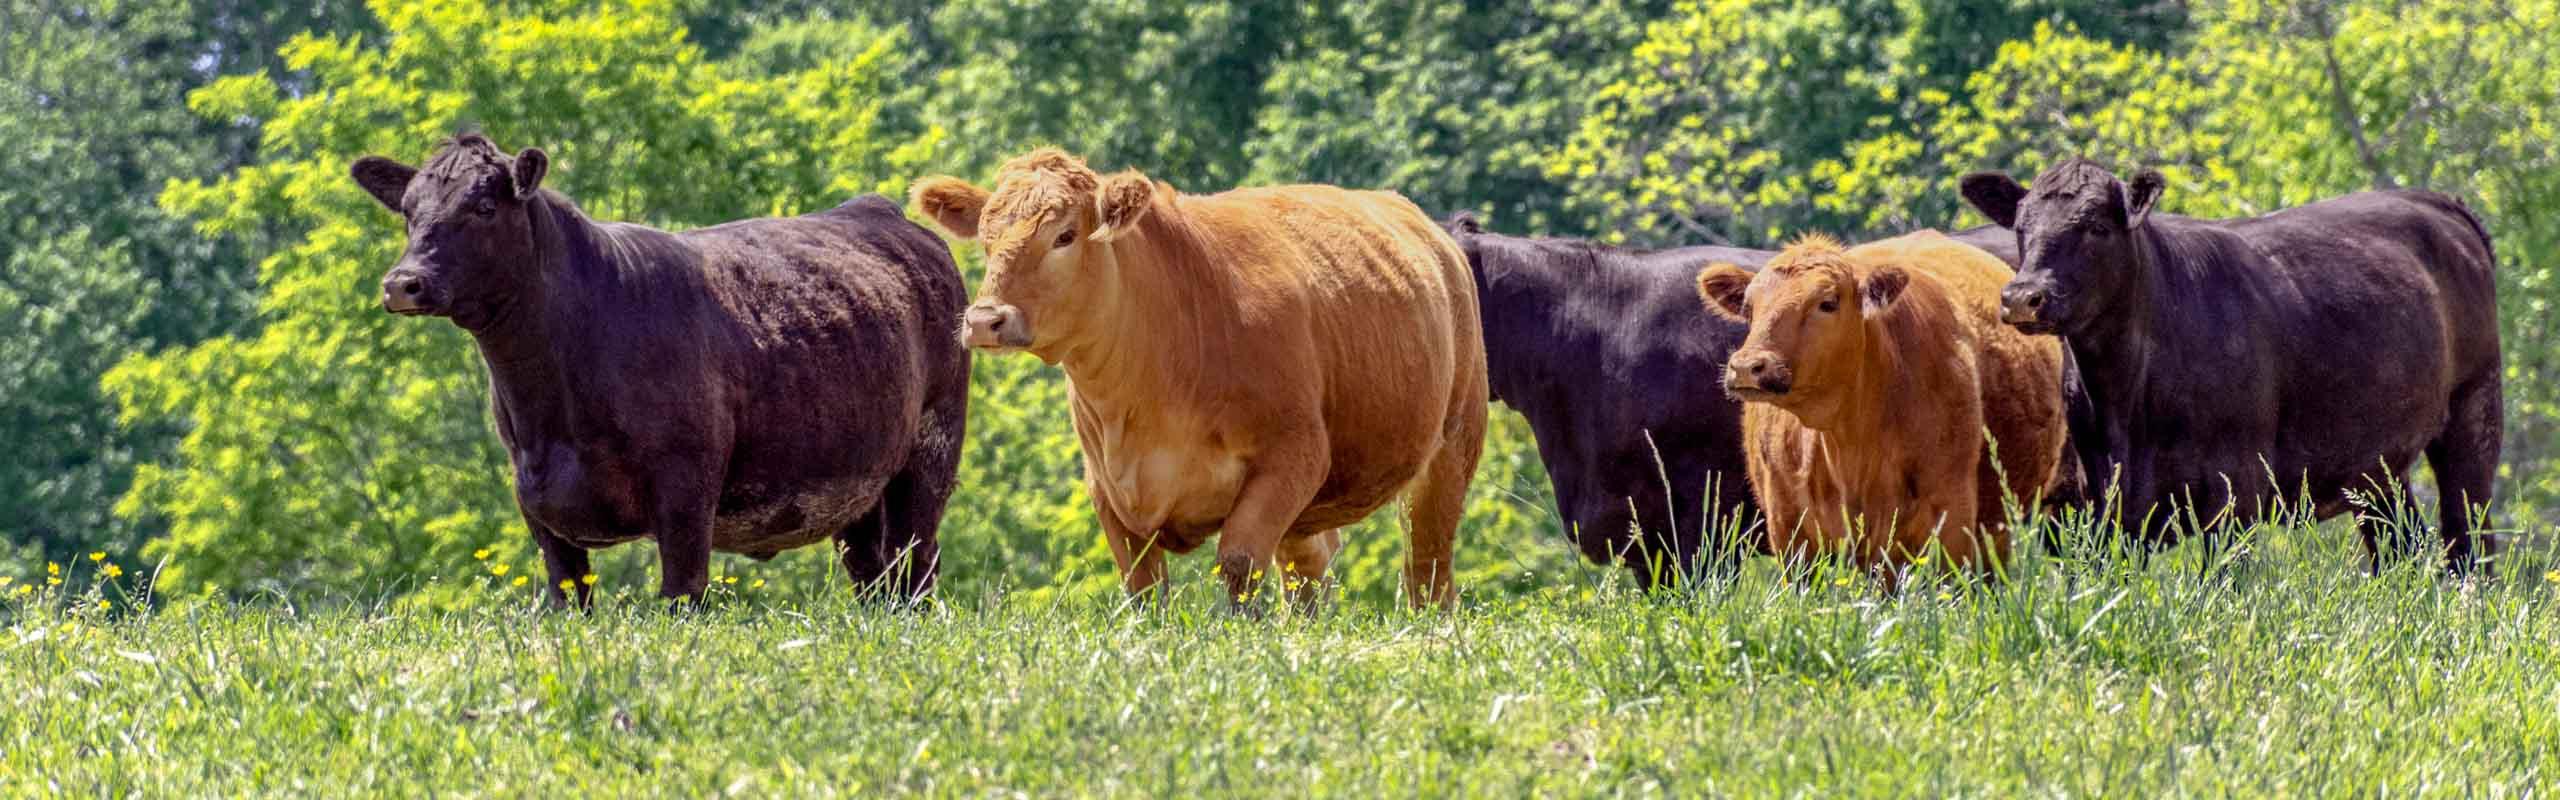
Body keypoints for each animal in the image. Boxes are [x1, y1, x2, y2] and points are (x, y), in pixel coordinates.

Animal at [350, 134, 971, 606]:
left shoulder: (686, 490)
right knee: (874, 575)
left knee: (916, 566)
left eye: (482, 207)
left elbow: (681, 597)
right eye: (408, 212)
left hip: (932, 447)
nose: (403, 283)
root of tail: (878, 211)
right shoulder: (537, 503)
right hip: (856, 479)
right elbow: (569, 601)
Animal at [910, 148, 1485, 609]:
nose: (986, 319)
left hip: (1449, 452)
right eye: (986, 240)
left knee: (1428, 570)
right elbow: (1144, 589)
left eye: (1064, 236)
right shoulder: (1107, 489)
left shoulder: (1292, 456)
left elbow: (1239, 564)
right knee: (1307, 574)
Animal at [1960, 159, 2502, 573]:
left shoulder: (2234, 492)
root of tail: (2435, 200)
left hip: (2474, 410)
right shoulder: (2101, 509)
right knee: (2399, 542)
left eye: (2095, 227)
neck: (2127, 399)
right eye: (2022, 227)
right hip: (2375, 462)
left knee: (2468, 536)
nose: (2023, 297)